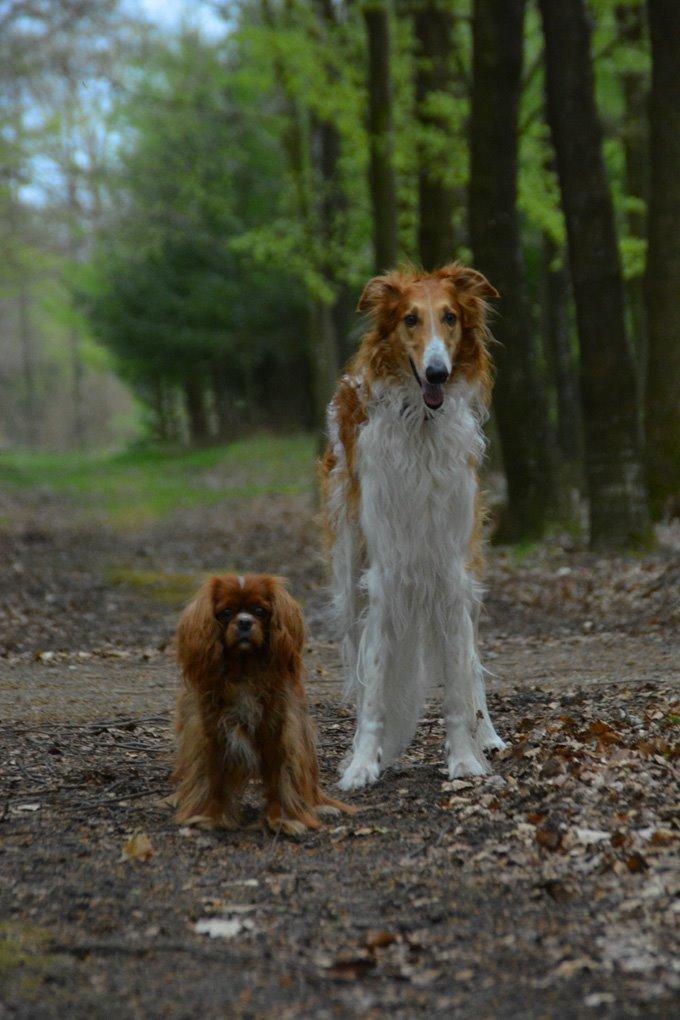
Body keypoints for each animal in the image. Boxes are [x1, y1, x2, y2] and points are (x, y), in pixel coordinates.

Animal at [173, 571, 354, 832]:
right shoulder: (213, 734)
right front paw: (212, 817)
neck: (244, 670)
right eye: (226, 613)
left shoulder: (277, 734)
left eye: (260, 611)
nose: (244, 622)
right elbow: (215, 781)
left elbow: (278, 782)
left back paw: (320, 806)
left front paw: (280, 819)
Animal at [322, 261, 507, 787]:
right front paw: (363, 762)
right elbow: (374, 682)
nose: (437, 371)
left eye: (450, 317)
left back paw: (488, 735)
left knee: (471, 661)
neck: (422, 427)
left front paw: (465, 758)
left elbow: (458, 683)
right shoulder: (385, 570)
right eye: (409, 319)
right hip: (349, 569)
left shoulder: (449, 566)